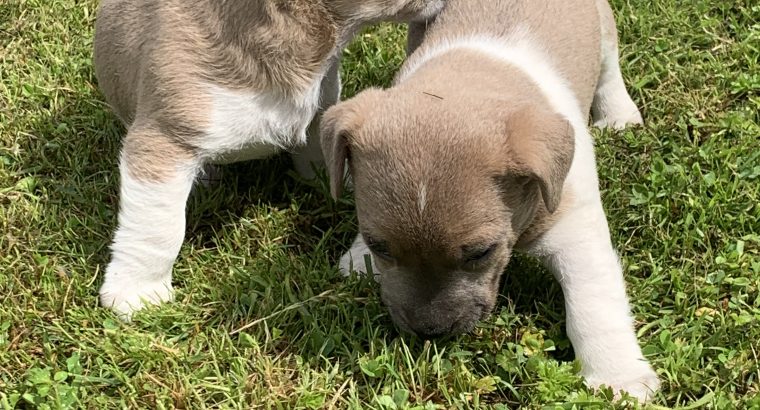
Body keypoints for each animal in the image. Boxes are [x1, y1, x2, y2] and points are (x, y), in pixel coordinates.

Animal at [320, 0, 660, 400]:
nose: (429, 332)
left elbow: (594, 303)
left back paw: (619, 115)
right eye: (380, 247)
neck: (474, 71)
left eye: (481, 253)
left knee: (609, 70)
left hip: (603, 31)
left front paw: (618, 378)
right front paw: (358, 258)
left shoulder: (574, 227)